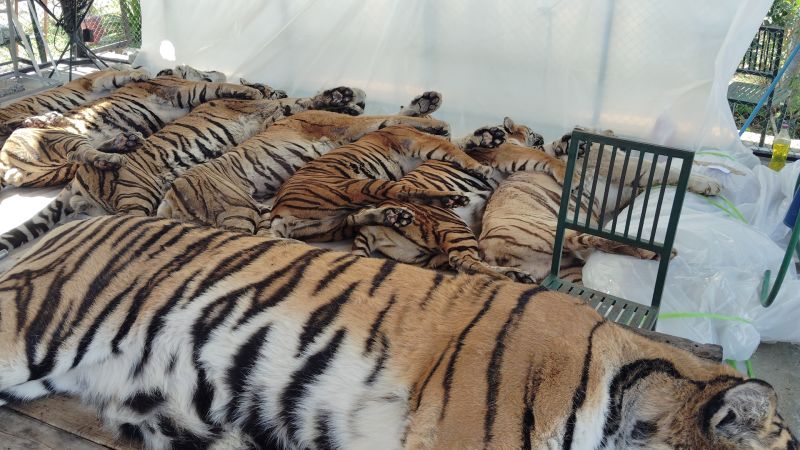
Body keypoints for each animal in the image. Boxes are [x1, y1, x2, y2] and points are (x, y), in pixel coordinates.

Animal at [0, 72, 269, 189]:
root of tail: (5, 166)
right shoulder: (183, 90)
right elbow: (215, 87)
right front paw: (253, 91)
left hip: (59, 169)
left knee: (79, 155)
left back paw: (125, 141)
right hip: (57, 138)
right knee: (81, 151)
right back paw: (112, 158)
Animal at [0, 86, 366, 258]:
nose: (358, 103)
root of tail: (78, 182)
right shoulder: (271, 108)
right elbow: (302, 101)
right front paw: (340, 97)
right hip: (135, 193)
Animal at [156, 91, 455, 234]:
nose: (356, 103)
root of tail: (169, 200)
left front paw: (427, 103)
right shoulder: (347, 125)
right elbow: (389, 117)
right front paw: (439, 124)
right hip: (237, 210)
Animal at [269, 125, 496, 242]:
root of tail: (277, 212)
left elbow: (457, 143)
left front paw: (487, 137)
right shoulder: (424, 142)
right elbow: (455, 149)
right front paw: (481, 165)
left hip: (327, 226)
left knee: (355, 218)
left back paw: (395, 216)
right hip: (358, 186)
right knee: (403, 192)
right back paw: (452, 199)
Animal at [478, 131, 725, 283]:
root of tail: (486, 249)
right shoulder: (626, 167)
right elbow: (667, 169)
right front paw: (711, 183)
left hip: (567, 266)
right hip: (552, 229)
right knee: (596, 239)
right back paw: (655, 251)